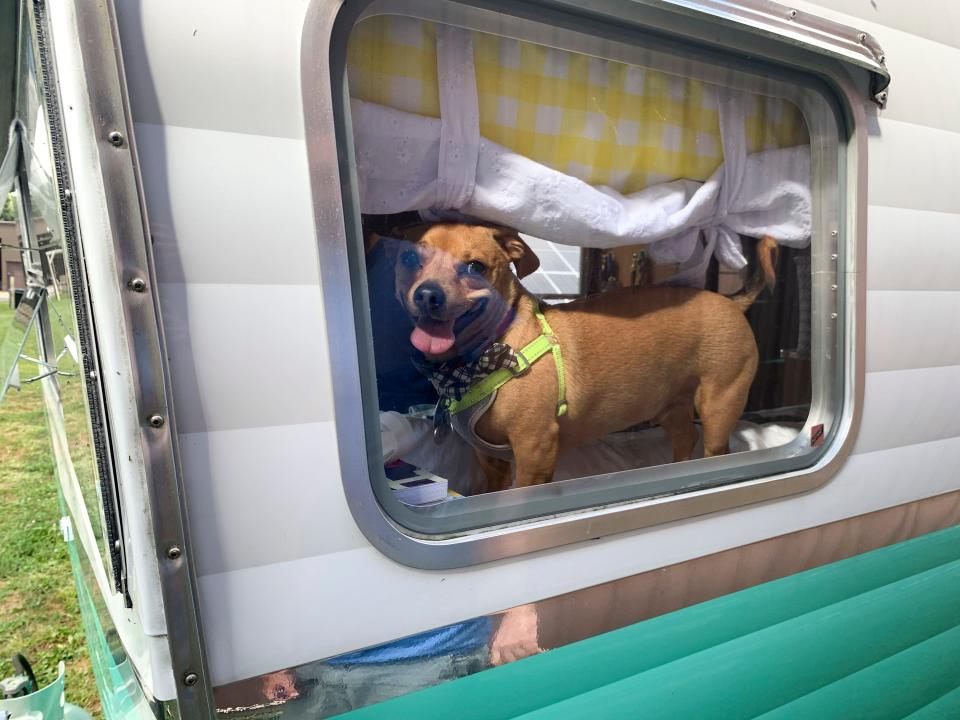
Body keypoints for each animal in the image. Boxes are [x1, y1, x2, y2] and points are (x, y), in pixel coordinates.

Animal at [394, 224, 776, 496]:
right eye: (412, 261)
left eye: (475, 267)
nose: (427, 294)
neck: (491, 350)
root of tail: (731, 300)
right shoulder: (491, 460)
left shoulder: (534, 449)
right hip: (670, 406)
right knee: (685, 438)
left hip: (719, 402)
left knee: (714, 445)